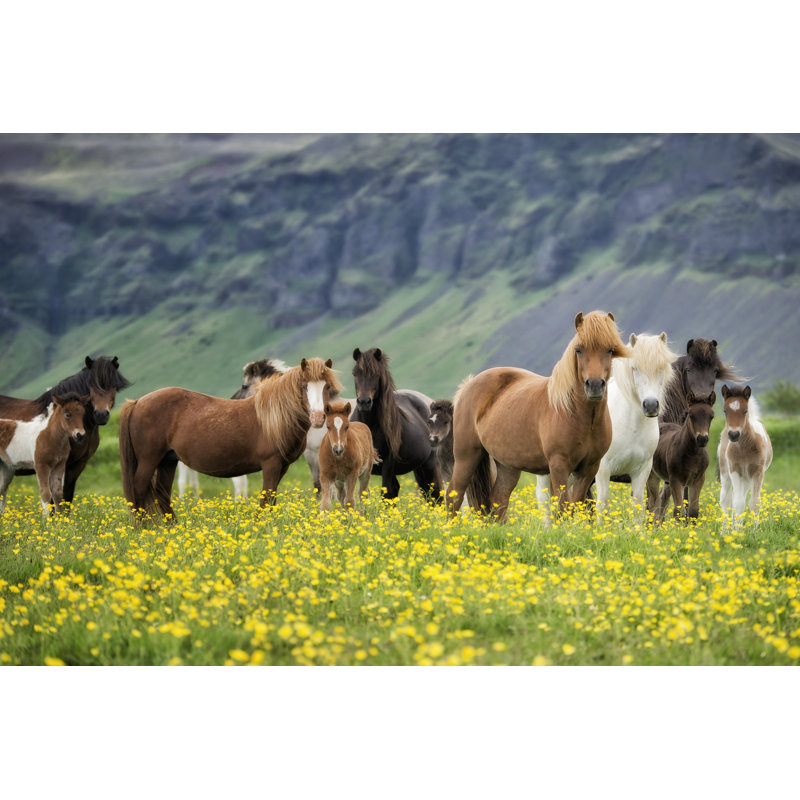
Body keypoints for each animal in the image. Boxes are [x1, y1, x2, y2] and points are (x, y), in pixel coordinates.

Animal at [351, 348, 442, 502]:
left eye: (376, 374)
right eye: (355, 373)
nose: (364, 402)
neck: (370, 426)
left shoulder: (388, 463)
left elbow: (386, 493)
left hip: (429, 464)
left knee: (435, 494)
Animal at [450, 311, 630, 522]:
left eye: (609, 350)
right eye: (578, 350)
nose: (594, 385)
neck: (578, 416)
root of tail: (468, 385)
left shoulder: (589, 468)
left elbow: (575, 504)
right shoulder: (558, 465)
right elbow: (564, 507)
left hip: (507, 466)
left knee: (498, 499)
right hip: (466, 455)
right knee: (453, 495)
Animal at [593, 332, 678, 516]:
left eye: (661, 369)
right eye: (635, 368)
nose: (651, 405)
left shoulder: (642, 471)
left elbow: (637, 506)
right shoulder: (603, 470)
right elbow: (602, 505)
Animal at [646, 391, 715, 523]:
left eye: (711, 416)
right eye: (691, 415)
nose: (702, 439)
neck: (693, 454)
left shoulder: (698, 479)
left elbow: (693, 511)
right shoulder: (676, 479)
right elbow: (678, 510)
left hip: (667, 481)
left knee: (662, 501)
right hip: (652, 475)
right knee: (653, 504)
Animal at [717, 385, 773, 528]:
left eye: (745, 411)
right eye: (725, 411)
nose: (734, 435)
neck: (744, 449)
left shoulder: (758, 472)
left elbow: (754, 503)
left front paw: (753, 531)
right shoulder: (735, 470)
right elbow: (738, 504)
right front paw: (737, 531)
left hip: (747, 478)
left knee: (739, 497)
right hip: (726, 473)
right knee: (726, 499)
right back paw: (725, 530)